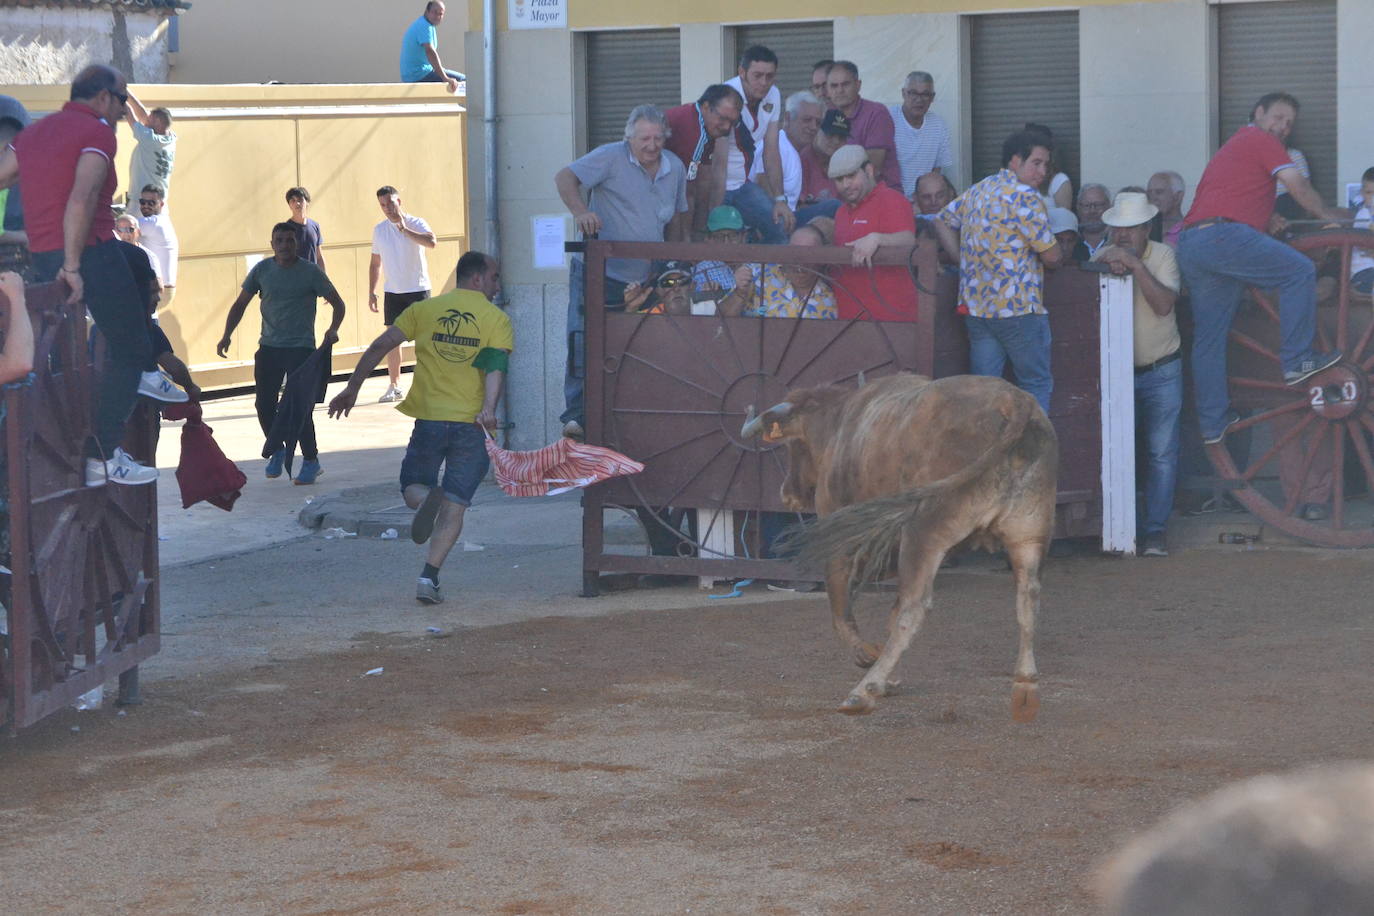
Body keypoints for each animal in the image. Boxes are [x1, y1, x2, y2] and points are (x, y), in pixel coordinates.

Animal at [747, 370, 1055, 714]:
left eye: (794, 446)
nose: (787, 493)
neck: (839, 423)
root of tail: (1014, 402)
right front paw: (887, 677)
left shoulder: (839, 535)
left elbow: (841, 609)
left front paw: (868, 659)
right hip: (1029, 534)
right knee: (1028, 598)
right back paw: (1025, 679)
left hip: (924, 533)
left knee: (913, 607)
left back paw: (862, 691)